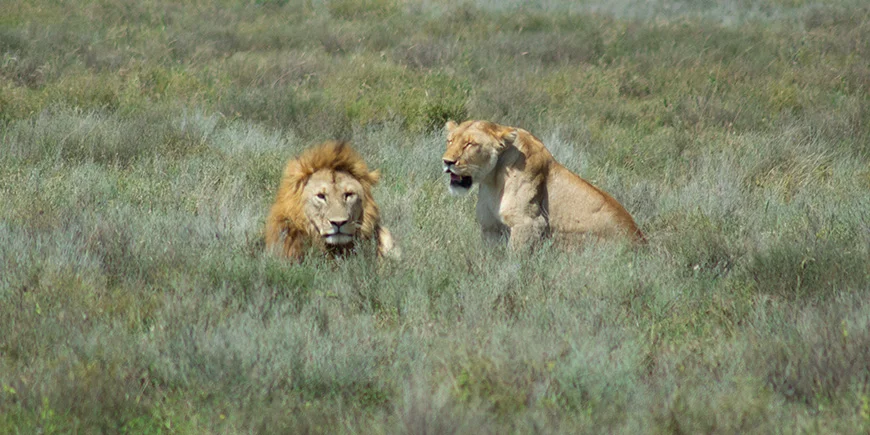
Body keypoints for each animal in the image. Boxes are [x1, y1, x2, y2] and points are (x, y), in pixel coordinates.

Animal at [442, 120, 645, 251]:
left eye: (469, 144)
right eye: (450, 141)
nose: (447, 161)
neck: (492, 179)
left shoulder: (528, 223)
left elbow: (513, 260)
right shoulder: (490, 227)